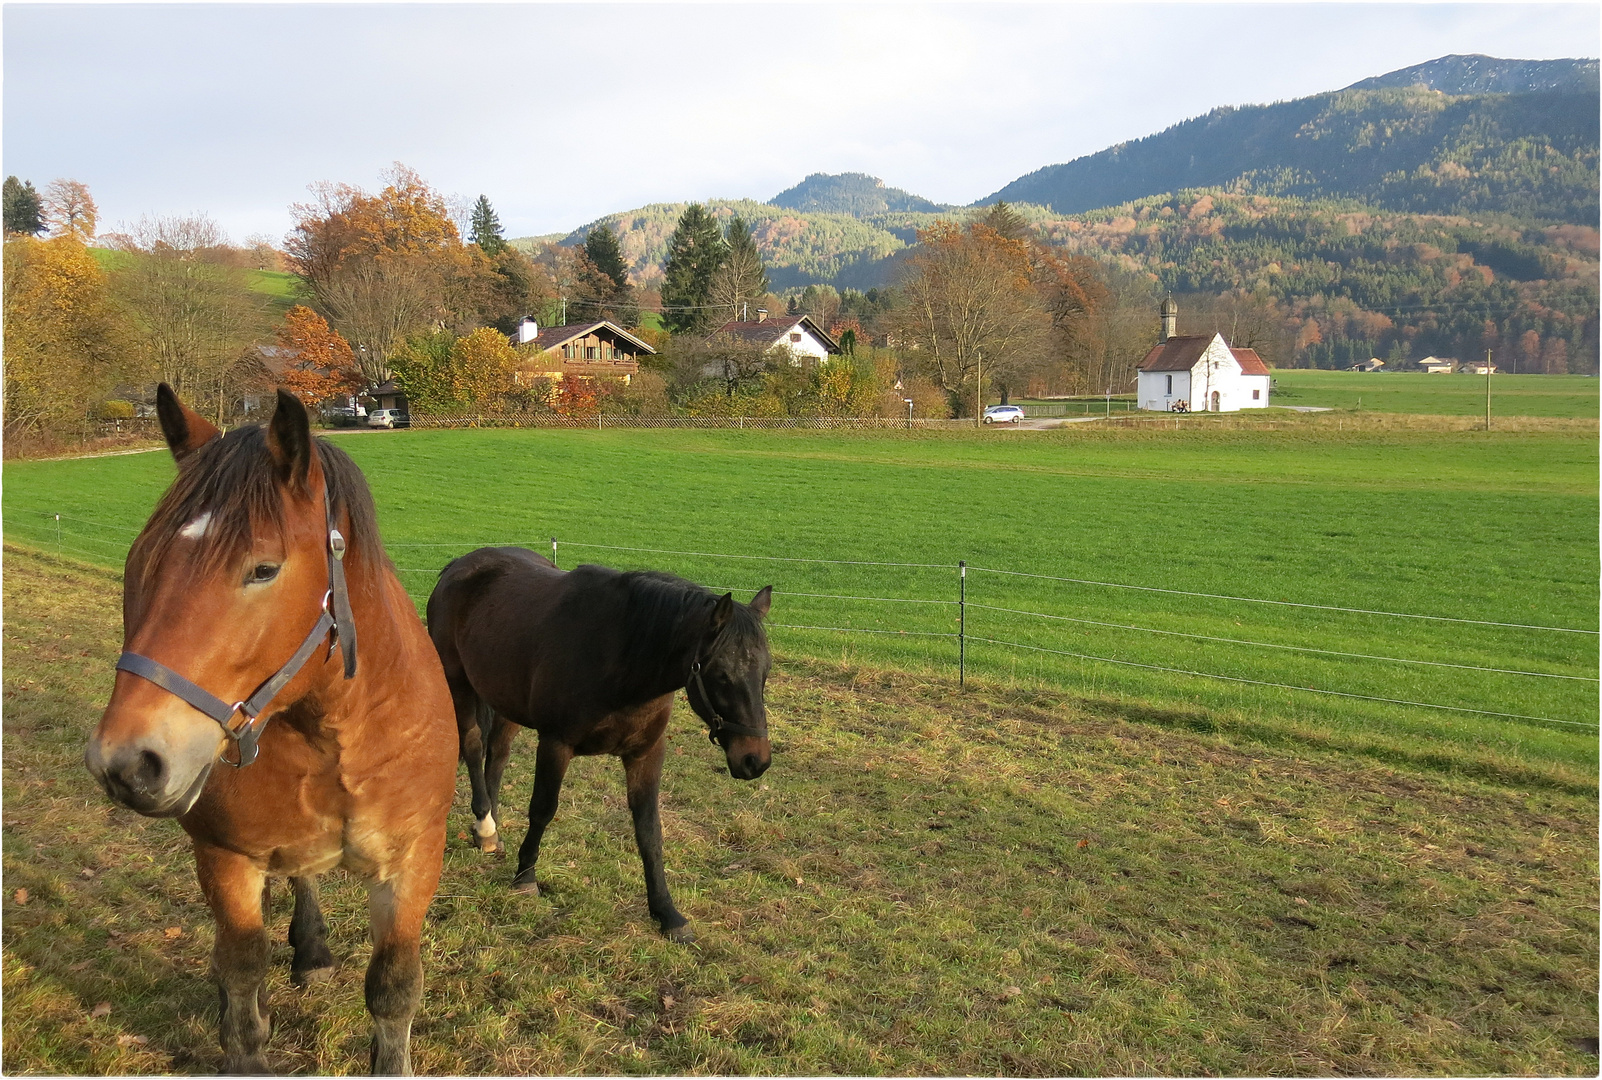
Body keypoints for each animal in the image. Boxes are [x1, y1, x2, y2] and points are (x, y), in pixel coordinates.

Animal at [84, 384, 458, 1070]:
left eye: (263, 569)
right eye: (139, 559)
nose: (125, 762)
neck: (334, 731)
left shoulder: (413, 862)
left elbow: (394, 989)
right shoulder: (225, 859)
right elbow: (240, 974)